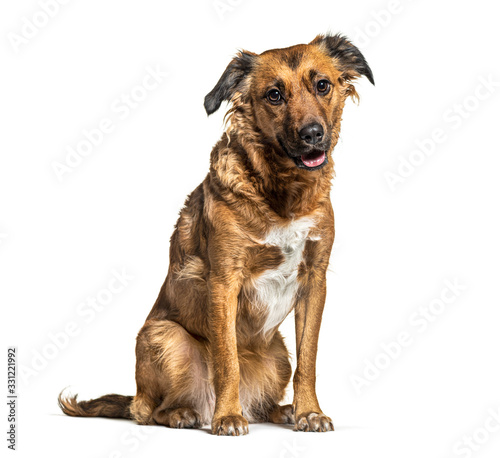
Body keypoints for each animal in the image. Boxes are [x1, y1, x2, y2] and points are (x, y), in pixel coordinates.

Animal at [58, 34, 374, 434]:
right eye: (274, 95)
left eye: (323, 85)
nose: (313, 135)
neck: (282, 193)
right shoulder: (224, 280)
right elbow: (227, 360)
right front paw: (227, 416)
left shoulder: (315, 280)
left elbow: (309, 360)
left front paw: (308, 412)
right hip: (164, 338)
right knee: (151, 411)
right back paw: (188, 414)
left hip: (278, 355)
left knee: (265, 401)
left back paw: (280, 410)